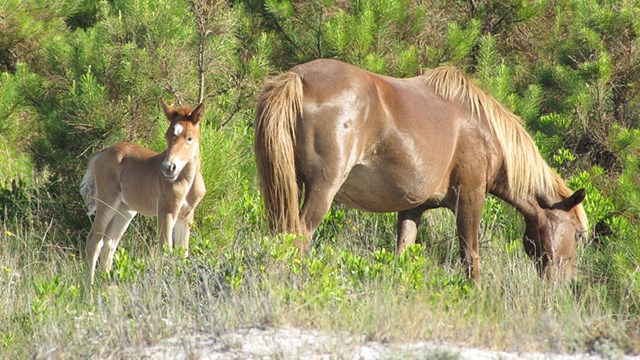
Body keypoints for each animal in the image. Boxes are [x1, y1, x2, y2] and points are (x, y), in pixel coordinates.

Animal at [79, 101, 205, 286]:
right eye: (167, 136)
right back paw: (88, 289)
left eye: (189, 138)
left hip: (125, 210)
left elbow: (183, 253)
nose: (168, 168)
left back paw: (104, 288)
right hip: (107, 202)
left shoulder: (186, 215)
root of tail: (99, 154)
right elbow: (165, 250)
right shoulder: (166, 211)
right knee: (94, 240)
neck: (185, 181)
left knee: (110, 243)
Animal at [256, 59, 592, 282]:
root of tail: (298, 78)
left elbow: (402, 254)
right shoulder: (471, 197)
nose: (567, 284)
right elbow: (470, 255)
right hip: (322, 190)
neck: (483, 130)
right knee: (299, 236)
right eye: (577, 234)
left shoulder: (412, 208)